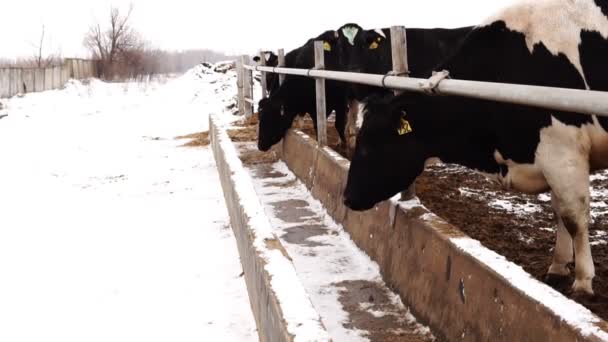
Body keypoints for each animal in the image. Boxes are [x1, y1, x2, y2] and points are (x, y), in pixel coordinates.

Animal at [344, 0, 608, 296]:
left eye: (370, 147)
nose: (347, 197)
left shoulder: (562, 151)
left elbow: (573, 217)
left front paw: (583, 281)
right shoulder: (554, 158)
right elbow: (558, 211)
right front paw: (559, 267)